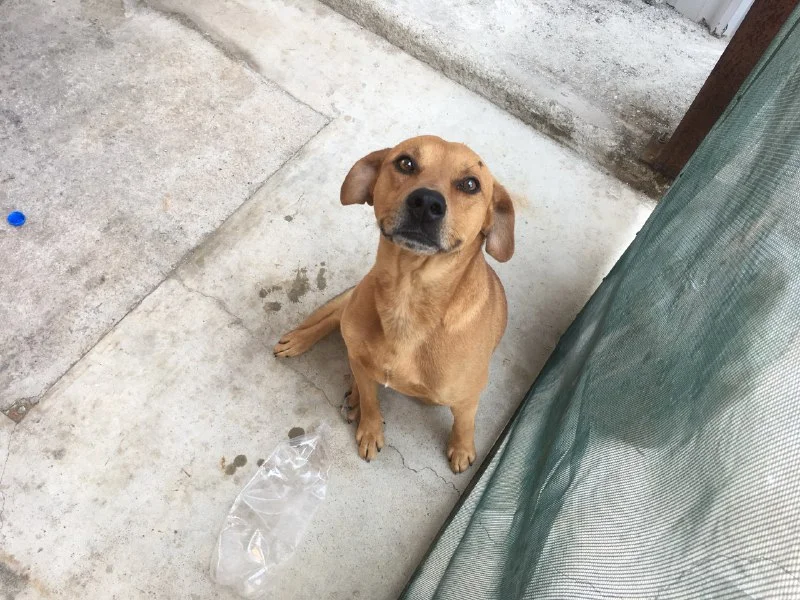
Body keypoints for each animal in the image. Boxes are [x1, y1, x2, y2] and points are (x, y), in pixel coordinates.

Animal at [274, 135, 514, 473]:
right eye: (405, 163)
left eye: (470, 184)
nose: (426, 202)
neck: (407, 296)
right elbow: (372, 400)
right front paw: (370, 428)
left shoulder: (467, 397)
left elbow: (465, 423)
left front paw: (461, 448)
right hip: (352, 313)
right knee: (337, 321)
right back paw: (303, 343)